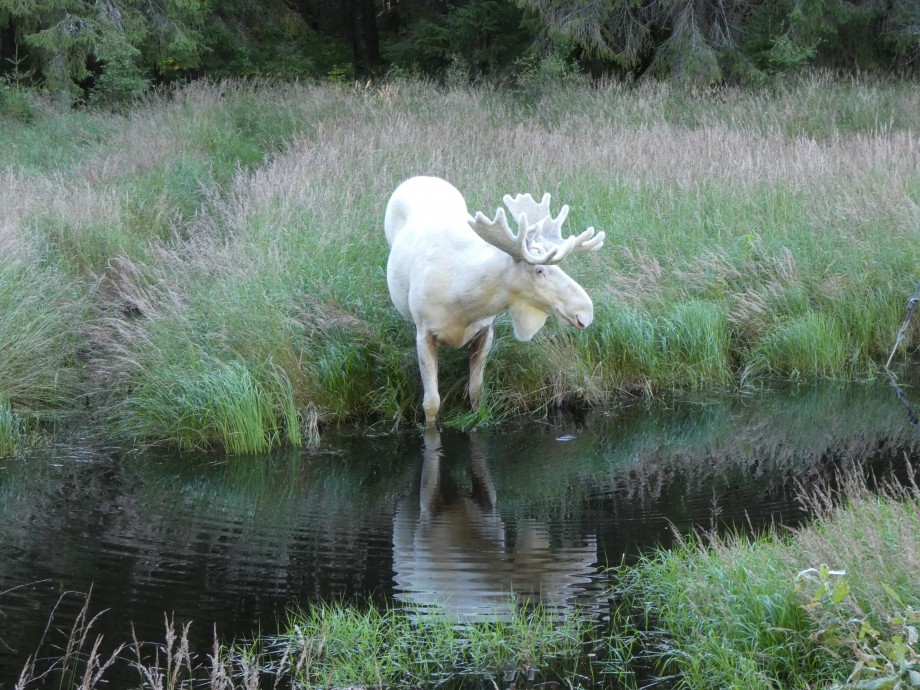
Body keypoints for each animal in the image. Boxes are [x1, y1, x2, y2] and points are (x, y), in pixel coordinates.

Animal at [386, 176, 608, 424]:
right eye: (539, 270)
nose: (585, 311)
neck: (464, 302)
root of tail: (421, 178)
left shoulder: (485, 330)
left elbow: (476, 391)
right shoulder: (425, 333)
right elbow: (431, 403)